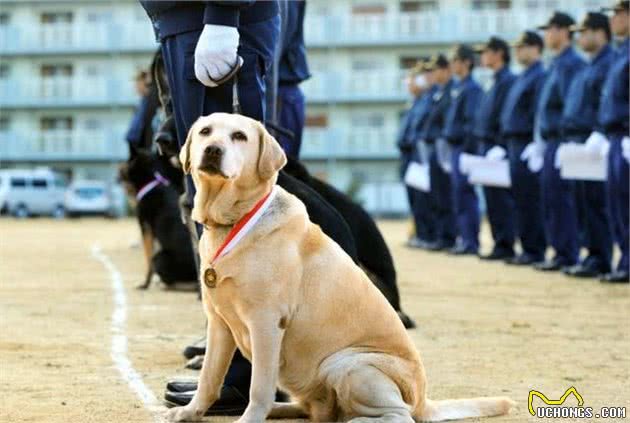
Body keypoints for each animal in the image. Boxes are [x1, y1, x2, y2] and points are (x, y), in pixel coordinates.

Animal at [169, 113, 520, 423]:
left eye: (239, 136)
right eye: (206, 131)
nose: (213, 150)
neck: (234, 221)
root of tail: (423, 401)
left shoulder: (266, 322)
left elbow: (259, 387)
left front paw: (249, 417)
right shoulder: (219, 323)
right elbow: (209, 379)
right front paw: (190, 412)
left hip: (346, 364)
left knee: (398, 416)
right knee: (317, 410)